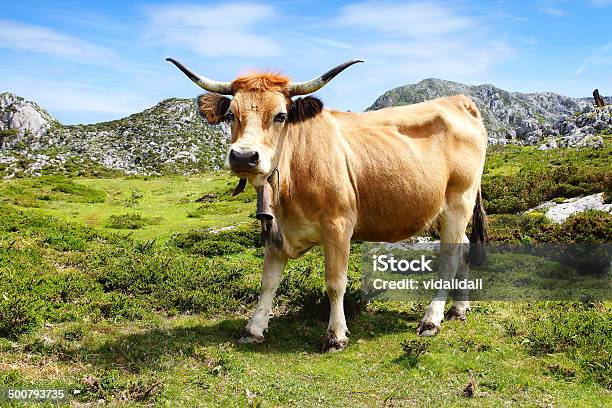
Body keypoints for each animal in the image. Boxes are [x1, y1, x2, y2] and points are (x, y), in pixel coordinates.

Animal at [166, 56, 488, 350]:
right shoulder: (275, 230)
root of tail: (459, 100)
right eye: (231, 114)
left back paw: (431, 319)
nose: (244, 156)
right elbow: (268, 281)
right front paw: (253, 328)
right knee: (463, 248)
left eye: (280, 115)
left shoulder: (339, 226)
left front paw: (336, 335)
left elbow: (335, 283)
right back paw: (459, 309)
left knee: (449, 258)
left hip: (459, 201)